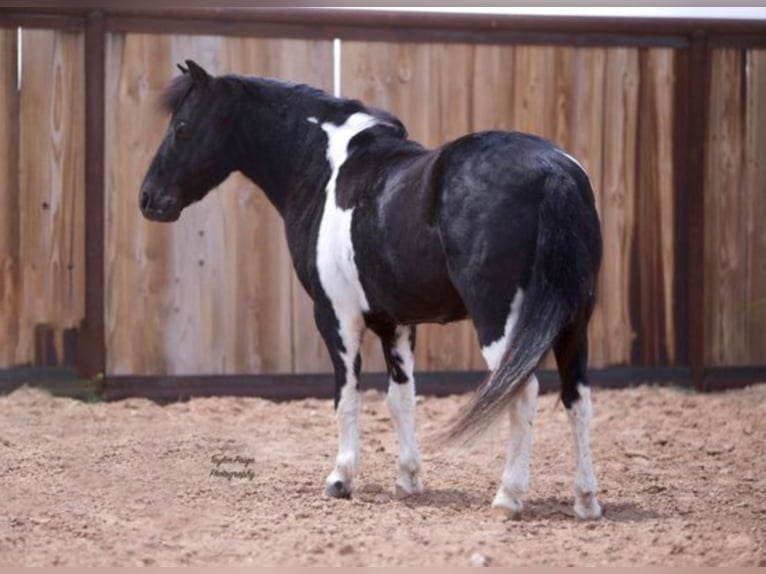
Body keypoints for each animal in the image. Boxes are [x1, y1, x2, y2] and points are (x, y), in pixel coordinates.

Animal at [138, 62, 608, 520]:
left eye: (182, 126)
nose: (147, 198)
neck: (327, 170)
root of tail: (553, 171)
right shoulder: (394, 323)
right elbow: (401, 399)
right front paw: (408, 479)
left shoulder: (335, 316)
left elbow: (347, 396)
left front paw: (340, 478)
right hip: (573, 322)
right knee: (578, 398)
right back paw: (586, 501)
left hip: (500, 321)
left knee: (521, 393)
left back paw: (509, 496)